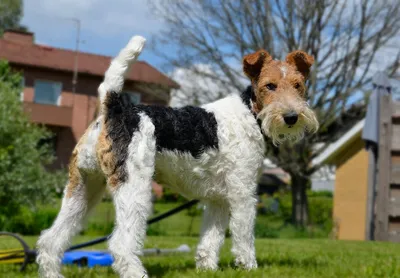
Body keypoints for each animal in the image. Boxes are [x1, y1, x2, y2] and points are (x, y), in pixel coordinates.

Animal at [36, 35, 318, 276]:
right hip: (134, 188)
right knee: (121, 243)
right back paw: (138, 273)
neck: (250, 112)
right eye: (269, 86)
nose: (291, 117)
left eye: (298, 85)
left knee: (51, 238)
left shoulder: (218, 198)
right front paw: (249, 267)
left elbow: (210, 239)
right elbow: (243, 235)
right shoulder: (243, 192)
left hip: (83, 187)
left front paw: (207, 269)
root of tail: (113, 107)